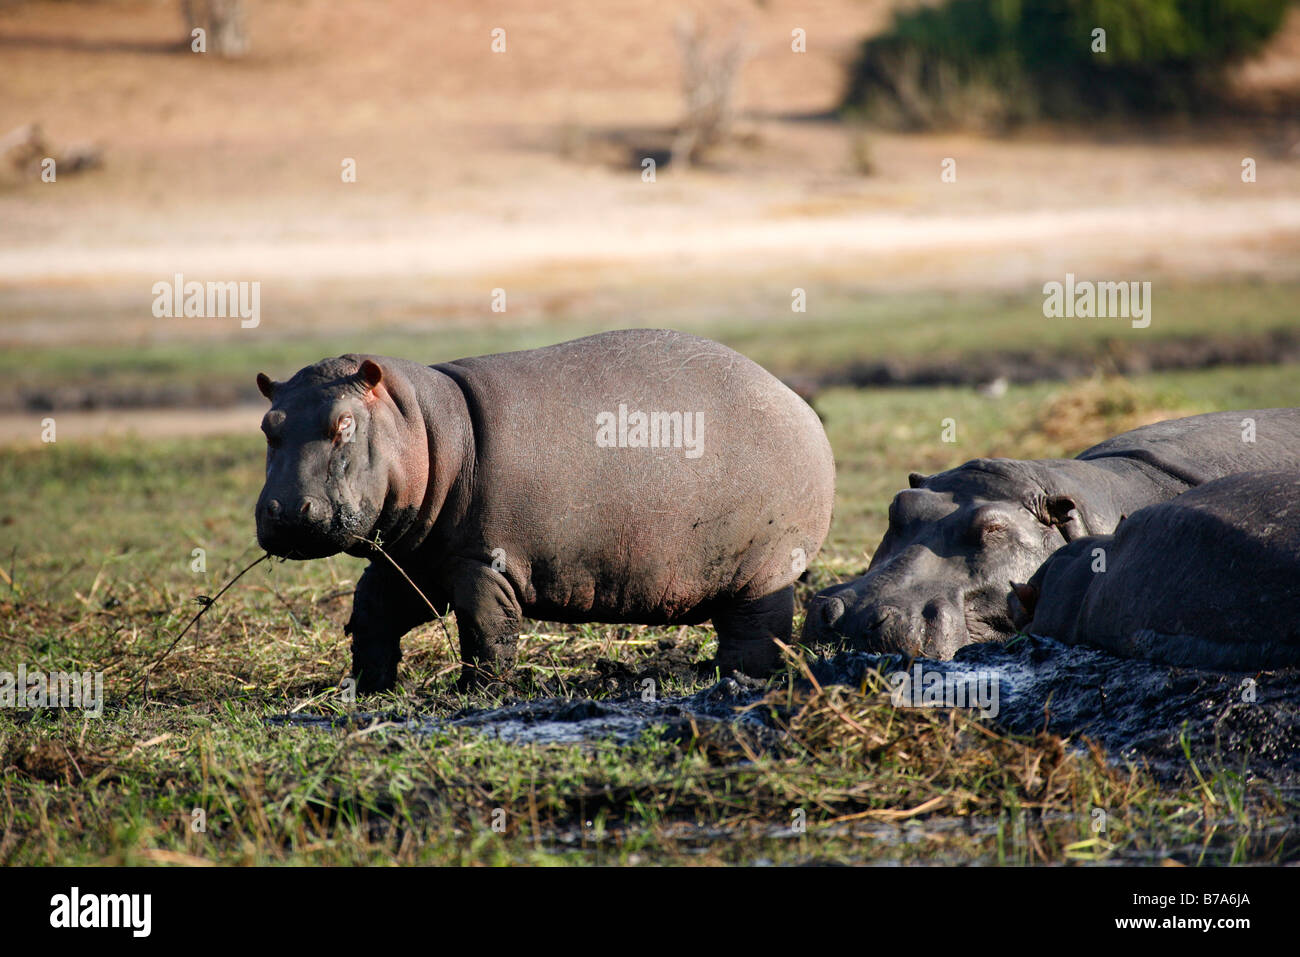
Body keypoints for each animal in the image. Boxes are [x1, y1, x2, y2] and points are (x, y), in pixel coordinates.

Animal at [256, 327, 832, 686]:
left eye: (344, 423)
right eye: (268, 425)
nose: (284, 510)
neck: (422, 422)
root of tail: (799, 405)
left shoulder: (482, 562)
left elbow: (487, 629)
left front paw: (477, 693)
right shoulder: (413, 560)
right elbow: (372, 614)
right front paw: (368, 689)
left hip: (764, 570)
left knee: (758, 630)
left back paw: (737, 678)